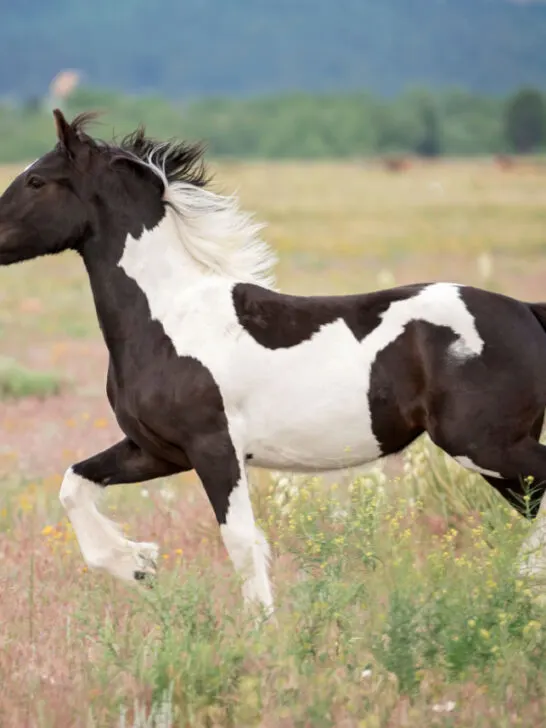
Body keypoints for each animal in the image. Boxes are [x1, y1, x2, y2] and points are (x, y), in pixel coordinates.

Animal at [1, 108, 546, 614]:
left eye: (36, 180)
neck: (168, 316)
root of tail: (527, 311)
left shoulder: (214, 448)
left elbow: (241, 542)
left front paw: (260, 632)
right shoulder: (156, 450)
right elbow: (74, 484)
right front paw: (138, 564)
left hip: (483, 443)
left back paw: (522, 579)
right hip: (496, 455)